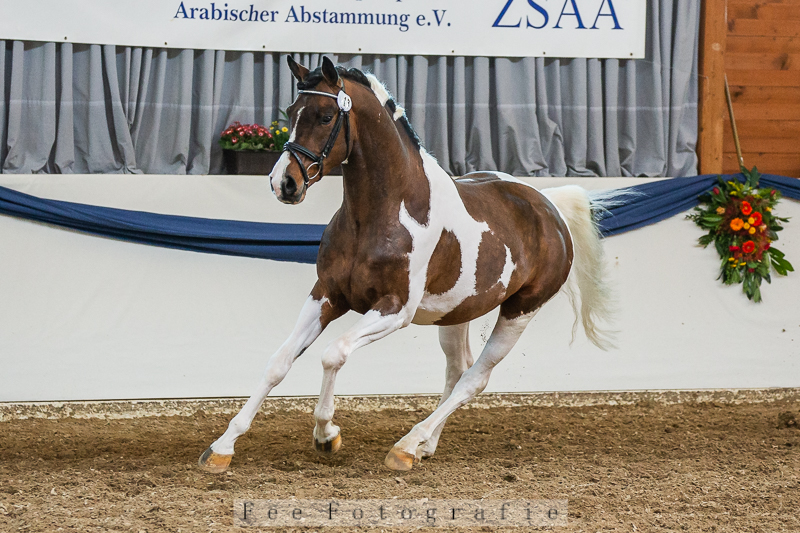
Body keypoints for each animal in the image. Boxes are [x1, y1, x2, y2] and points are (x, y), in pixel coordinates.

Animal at [199, 56, 616, 473]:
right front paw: (221, 447)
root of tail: (549, 207)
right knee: (458, 369)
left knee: (474, 379)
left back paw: (406, 446)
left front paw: (327, 435)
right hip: (455, 313)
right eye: (291, 111)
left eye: (326, 116)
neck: (384, 214)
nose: (283, 183)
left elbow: (333, 353)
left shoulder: (394, 310)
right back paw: (425, 446)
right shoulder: (327, 295)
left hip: (520, 311)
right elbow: (279, 363)